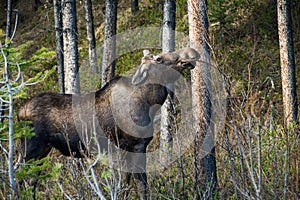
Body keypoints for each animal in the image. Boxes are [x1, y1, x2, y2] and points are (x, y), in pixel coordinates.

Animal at [19, 47, 202, 198]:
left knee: (31, 181)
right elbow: (138, 184)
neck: (149, 103)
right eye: (159, 59)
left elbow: (127, 185)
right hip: (31, 148)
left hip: (43, 151)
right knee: (20, 176)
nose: (192, 52)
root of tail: (20, 112)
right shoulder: (135, 146)